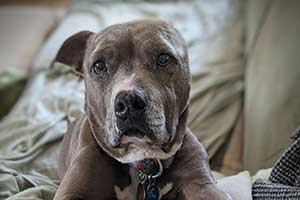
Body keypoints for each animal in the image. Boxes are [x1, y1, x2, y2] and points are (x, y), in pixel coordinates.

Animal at [52, 19, 231, 200]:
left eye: (164, 58)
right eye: (99, 66)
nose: (128, 101)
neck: (142, 158)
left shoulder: (201, 184)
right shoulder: (73, 189)